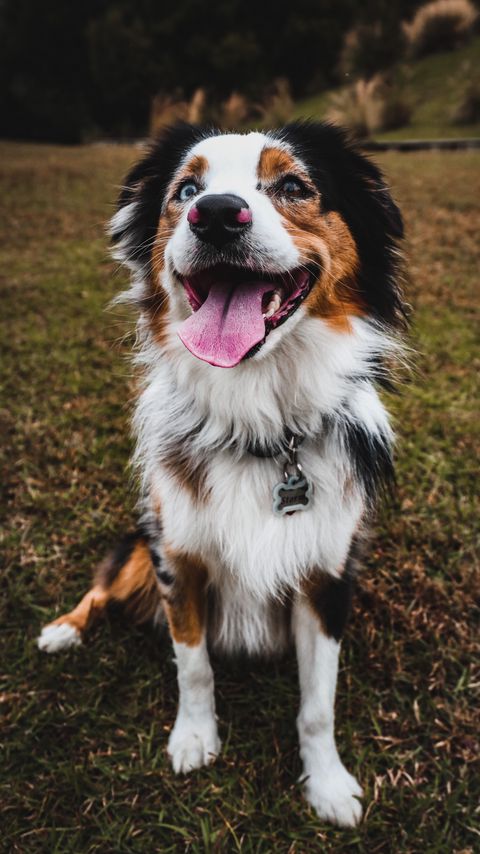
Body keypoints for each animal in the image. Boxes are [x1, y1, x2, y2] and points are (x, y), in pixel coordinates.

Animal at [37, 122, 404, 828]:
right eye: (186, 190)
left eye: (292, 185)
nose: (214, 215)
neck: (262, 428)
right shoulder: (176, 555)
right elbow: (194, 666)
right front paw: (194, 740)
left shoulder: (327, 575)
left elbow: (318, 704)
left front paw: (328, 785)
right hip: (138, 543)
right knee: (100, 590)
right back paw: (62, 631)